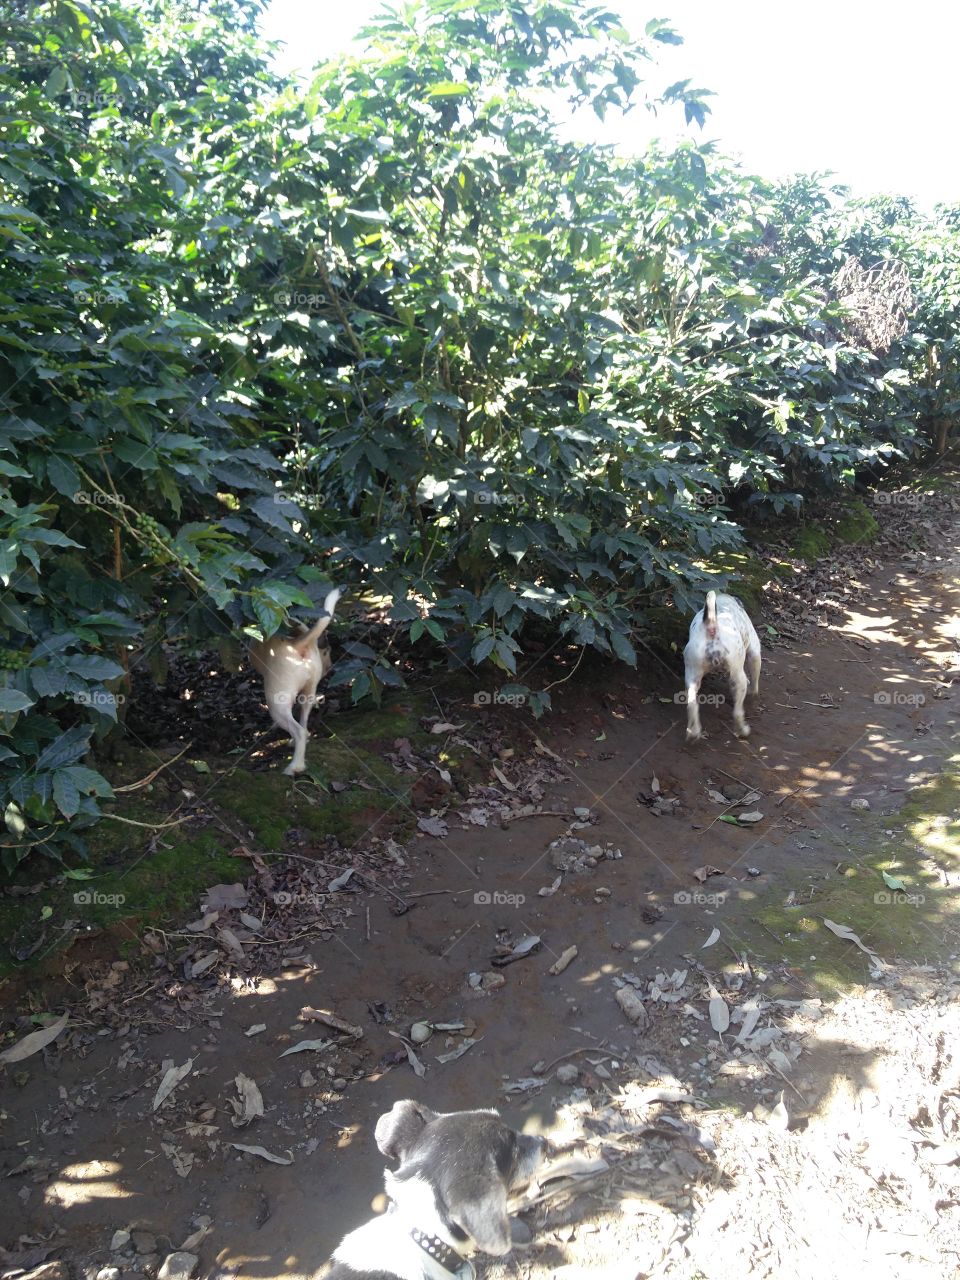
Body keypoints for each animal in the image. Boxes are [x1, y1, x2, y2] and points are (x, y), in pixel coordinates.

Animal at [248, 586, 343, 773]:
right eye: (327, 652)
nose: (330, 668)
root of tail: (296, 645)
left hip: (276, 704)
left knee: (298, 730)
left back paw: (295, 767)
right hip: (309, 694)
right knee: (304, 723)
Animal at [686, 588, 768, 742]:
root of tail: (711, 625)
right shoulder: (754, 652)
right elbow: (754, 681)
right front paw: (753, 694)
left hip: (692, 677)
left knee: (692, 704)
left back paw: (693, 731)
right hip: (738, 676)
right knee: (737, 712)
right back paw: (742, 731)